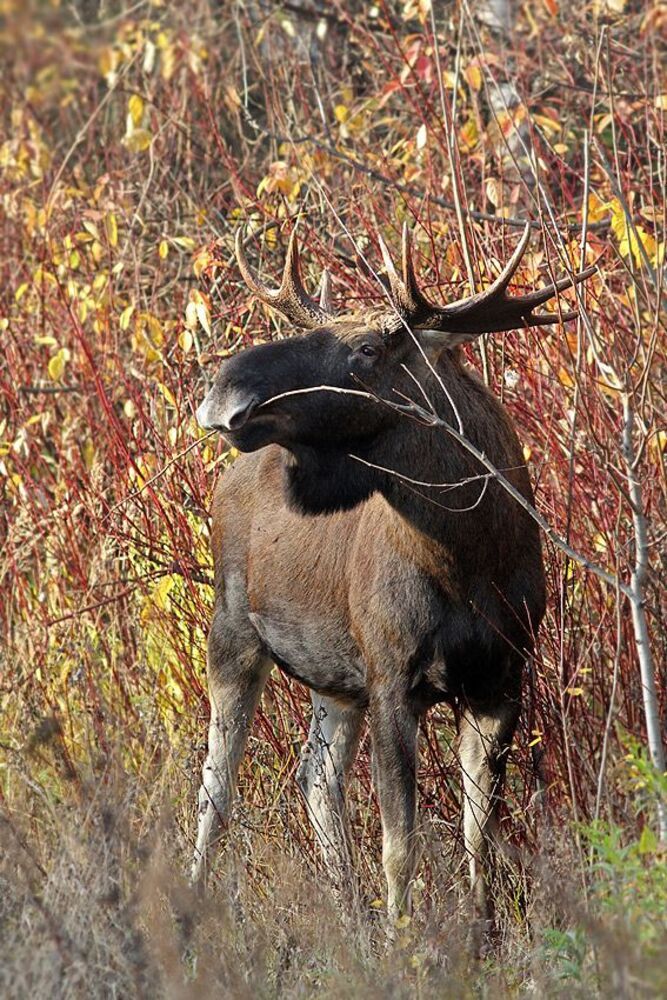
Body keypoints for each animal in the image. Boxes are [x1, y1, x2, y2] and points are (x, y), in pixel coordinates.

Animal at [192, 220, 594, 937]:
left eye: (369, 349)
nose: (224, 392)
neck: (468, 564)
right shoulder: (391, 678)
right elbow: (400, 845)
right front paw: (403, 941)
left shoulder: (500, 680)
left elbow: (477, 833)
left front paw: (481, 936)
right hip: (233, 633)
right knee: (216, 787)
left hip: (333, 676)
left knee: (315, 778)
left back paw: (348, 917)